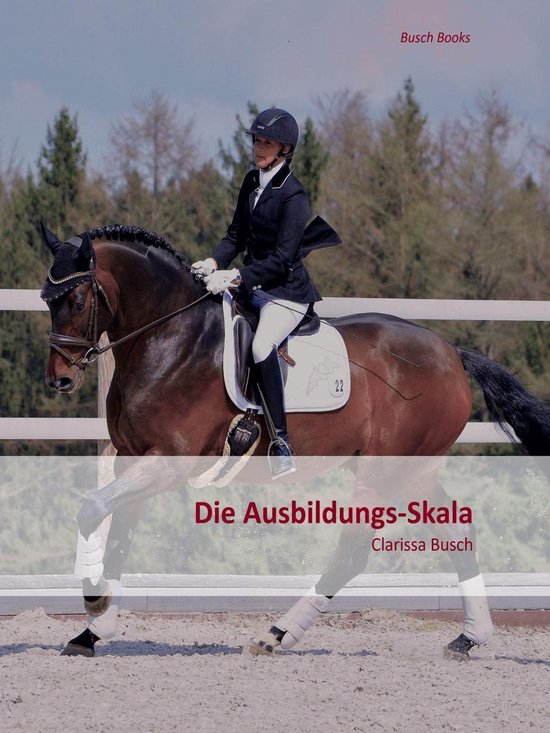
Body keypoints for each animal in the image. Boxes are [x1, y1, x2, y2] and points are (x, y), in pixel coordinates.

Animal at [40, 223, 550, 659]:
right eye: (48, 300)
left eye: (78, 300)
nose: (59, 380)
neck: (169, 338)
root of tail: (452, 355)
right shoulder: (134, 458)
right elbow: (119, 536)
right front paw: (93, 632)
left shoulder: (169, 461)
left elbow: (91, 510)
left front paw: (94, 608)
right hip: (412, 470)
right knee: (456, 532)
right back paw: (470, 637)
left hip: (384, 470)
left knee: (353, 552)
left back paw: (276, 634)